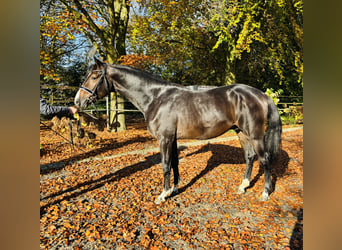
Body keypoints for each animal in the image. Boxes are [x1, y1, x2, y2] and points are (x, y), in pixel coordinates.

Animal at [74, 58, 280, 203]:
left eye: (94, 77)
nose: (77, 101)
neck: (156, 97)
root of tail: (261, 94)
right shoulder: (172, 139)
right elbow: (174, 163)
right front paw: (174, 189)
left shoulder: (164, 138)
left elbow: (165, 165)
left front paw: (163, 194)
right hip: (241, 132)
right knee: (250, 157)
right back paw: (243, 186)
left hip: (255, 134)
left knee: (264, 159)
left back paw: (265, 193)